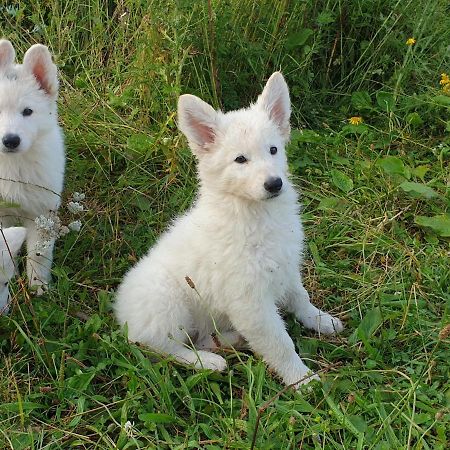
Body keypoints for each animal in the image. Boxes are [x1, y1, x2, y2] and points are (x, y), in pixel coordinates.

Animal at [114, 72, 342, 384]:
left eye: (273, 150)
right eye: (240, 160)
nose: (275, 184)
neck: (254, 214)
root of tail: (119, 312)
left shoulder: (285, 267)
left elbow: (300, 297)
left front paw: (320, 319)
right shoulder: (250, 302)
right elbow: (280, 343)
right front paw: (301, 379)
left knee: (199, 338)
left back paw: (229, 341)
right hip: (166, 303)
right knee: (162, 347)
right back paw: (207, 362)